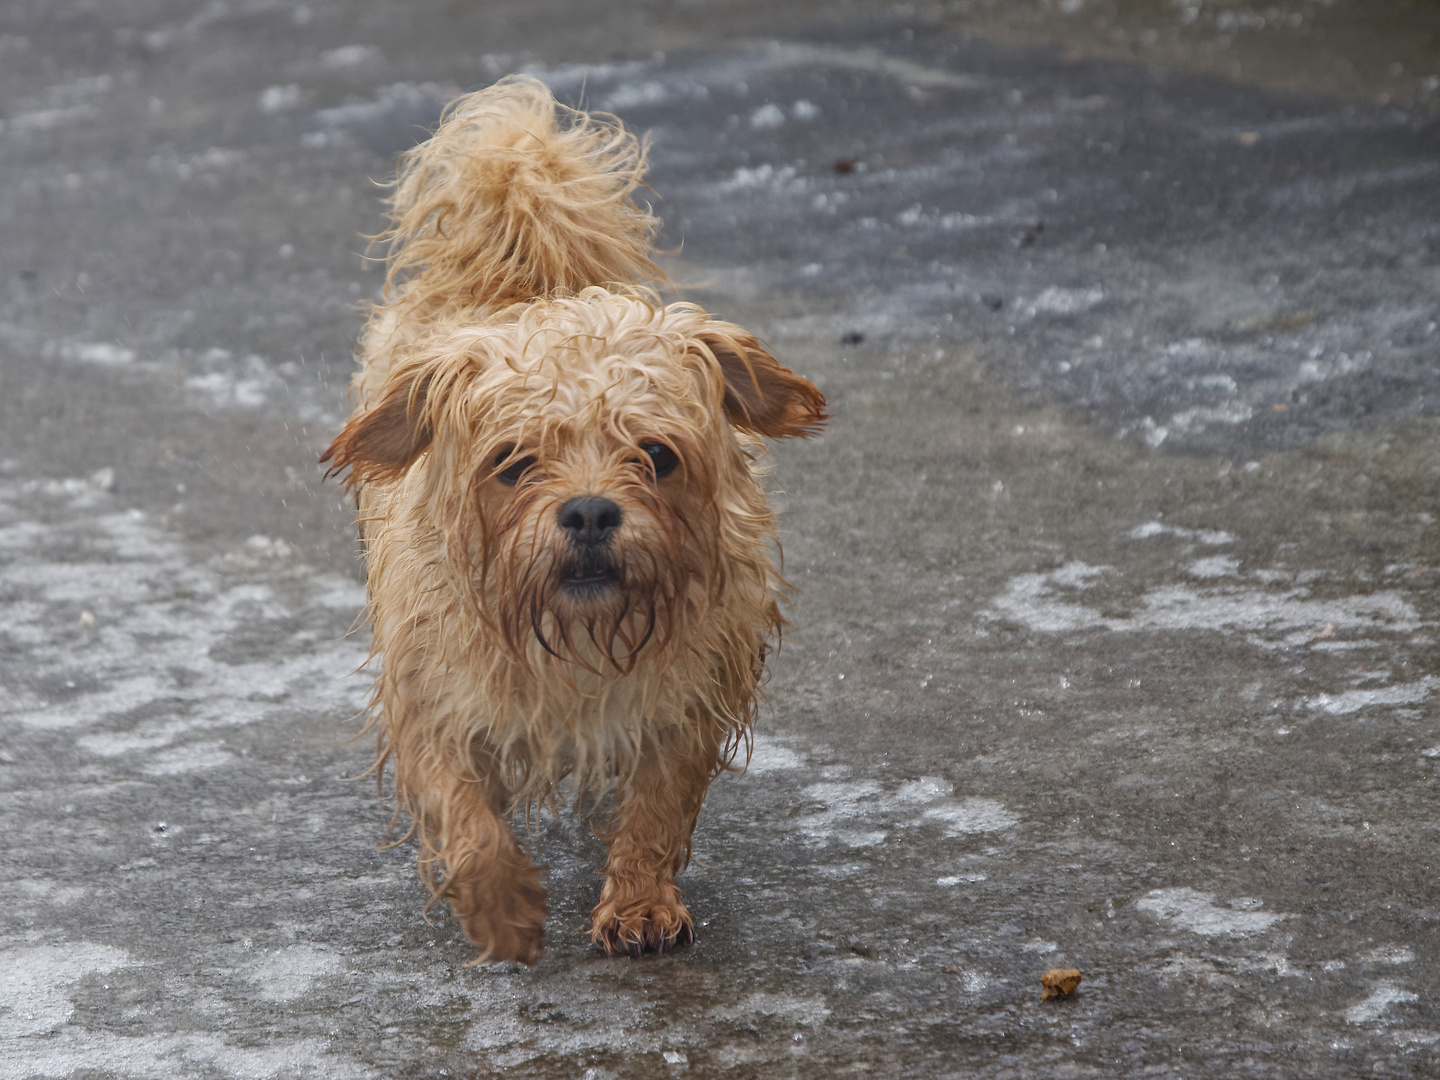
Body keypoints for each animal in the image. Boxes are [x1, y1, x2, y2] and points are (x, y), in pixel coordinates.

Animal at [321, 80, 829, 967]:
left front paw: (639, 901)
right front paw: (501, 909)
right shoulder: (431, 700)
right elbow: (467, 819)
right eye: (514, 461)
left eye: (656, 454)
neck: (579, 633)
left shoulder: (685, 698)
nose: (590, 509)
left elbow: (656, 806)